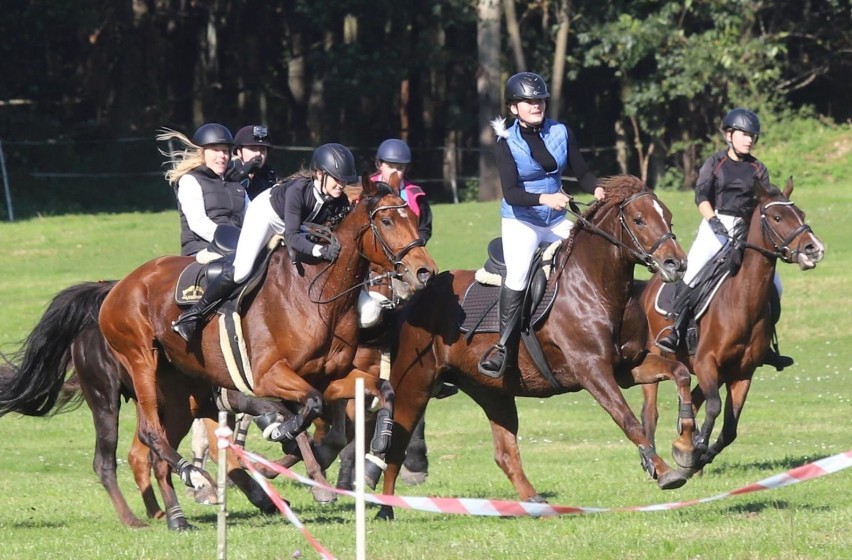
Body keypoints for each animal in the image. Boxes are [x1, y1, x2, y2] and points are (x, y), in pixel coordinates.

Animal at [95, 173, 436, 500]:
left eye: (413, 218)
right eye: (387, 221)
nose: (425, 271)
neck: (317, 294)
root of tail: (119, 286)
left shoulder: (329, 377)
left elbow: (383, 390)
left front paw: (379, 444)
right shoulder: (267, 376)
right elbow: (310, 406)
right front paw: (283, 435)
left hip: (180, 382)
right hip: (141, 361)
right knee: (149, 430)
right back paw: (195, 475)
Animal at [376, 176, 696, 520]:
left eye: (668, 217)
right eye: (639, 220)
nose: (677, 263)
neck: (596, 287)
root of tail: (412, 299)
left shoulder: (627, 367)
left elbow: (680, 374)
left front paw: (685, 447)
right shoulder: (593, 372)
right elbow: (628, 420)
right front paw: (664, 471)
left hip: (491, 391)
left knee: (505, 452)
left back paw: (535, 503)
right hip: (415, 386)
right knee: (397, 445)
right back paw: (386, 509)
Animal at [632, 179, 824, 472]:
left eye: (800, 214)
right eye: (777, 218)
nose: (814, 249)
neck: (741, 302)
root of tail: (645, 288)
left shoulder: (742, 372)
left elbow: (730, 427)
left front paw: (695, 453)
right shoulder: (706, 363)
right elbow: (714, 406)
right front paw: (694, 448)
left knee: (692, 400)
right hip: (655, 362)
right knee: (650, 412)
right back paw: (654, 460)